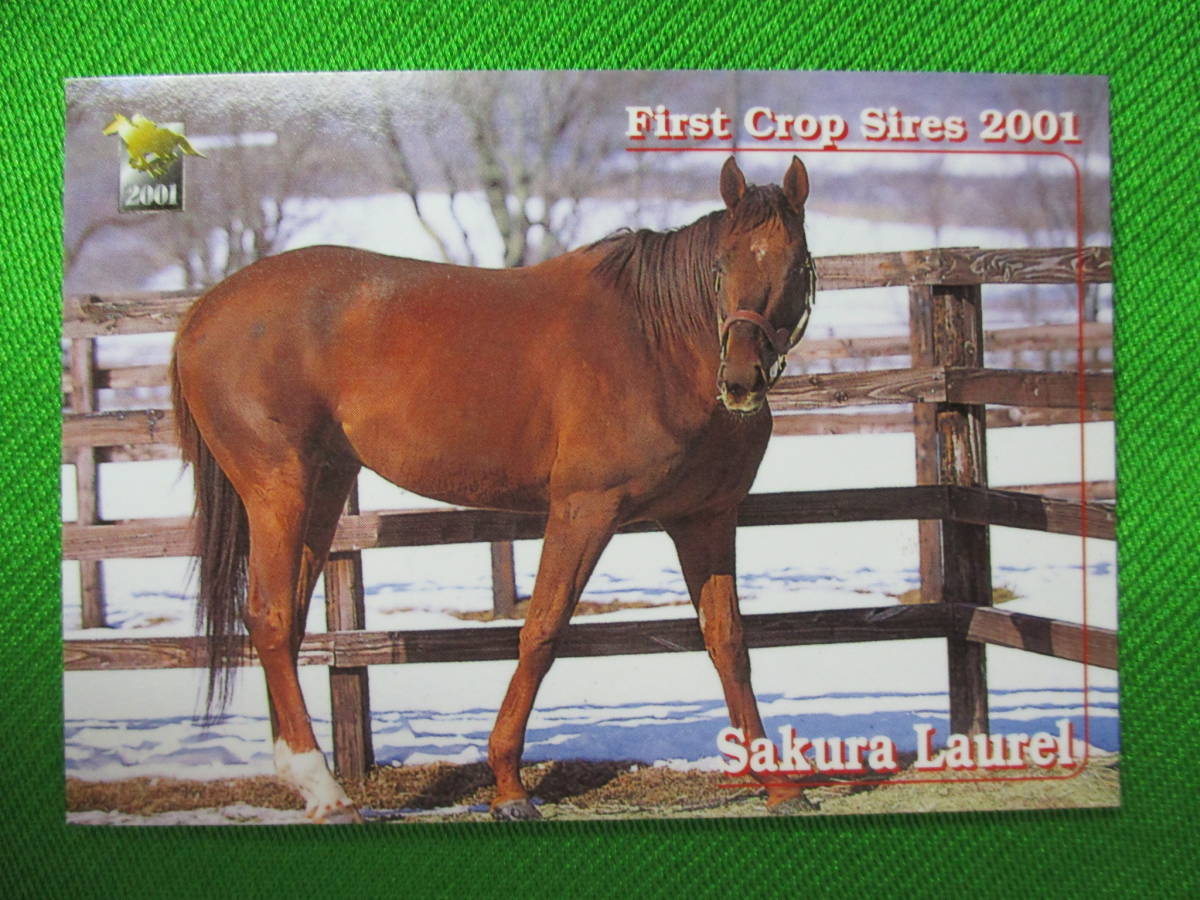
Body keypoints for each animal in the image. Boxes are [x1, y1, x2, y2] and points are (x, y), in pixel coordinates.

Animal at [170, 156, 817, 822]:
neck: (658, 342)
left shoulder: (705, 519)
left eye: (796, 264)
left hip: (324, 487)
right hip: (280, 488)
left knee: (289, 622)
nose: (740, 380)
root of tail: (203, 314)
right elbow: (541, 633)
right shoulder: (585, 510)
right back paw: (323, 789)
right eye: (721, 266)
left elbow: (728, 642)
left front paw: (779, 784)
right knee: (270, 618)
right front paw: (508, 787)